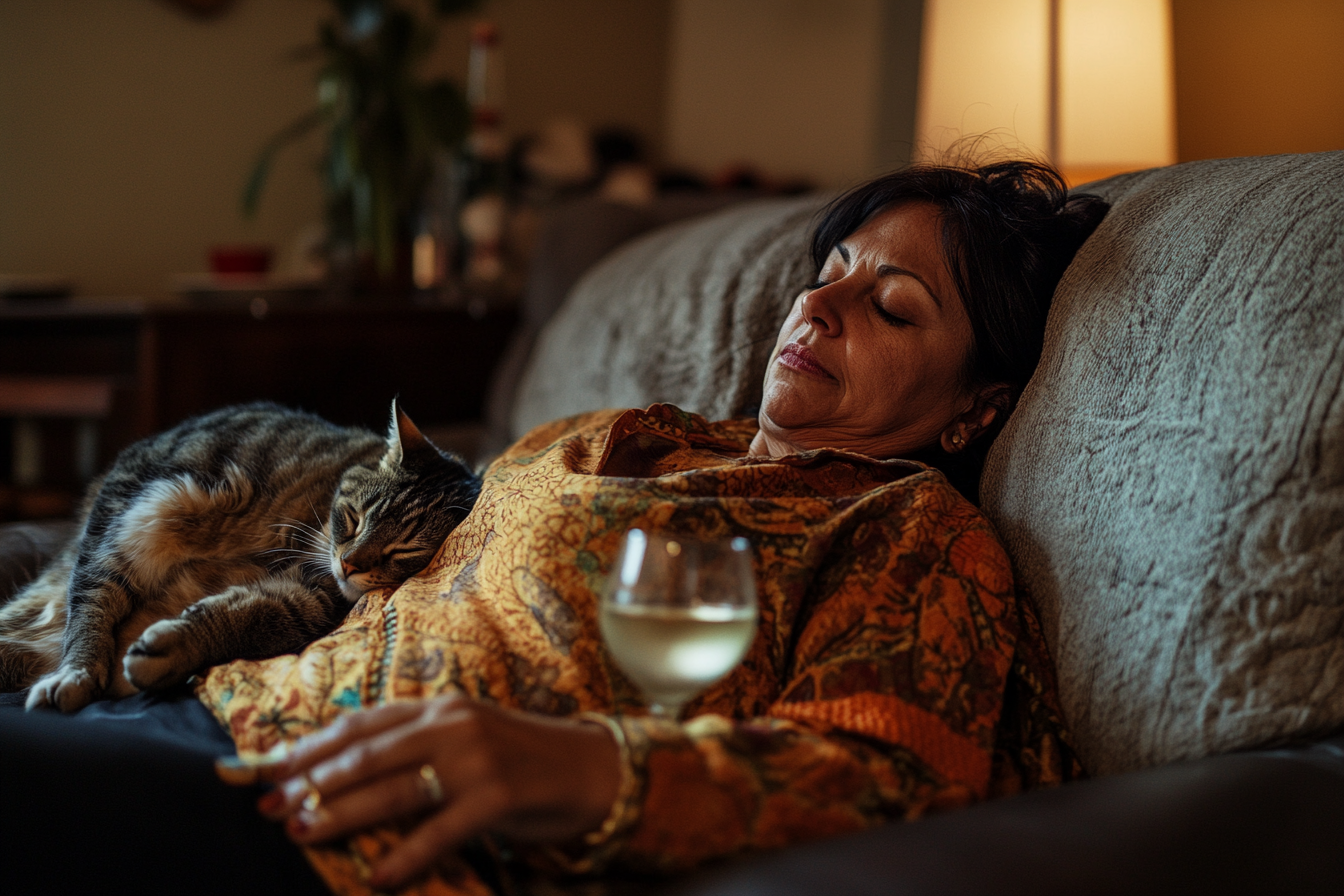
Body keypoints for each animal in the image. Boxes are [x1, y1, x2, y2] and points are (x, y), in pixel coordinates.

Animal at [0, 400, 481, 714]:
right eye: (355, 517)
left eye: (404, 550)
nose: (349, 564)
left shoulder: (307, 598)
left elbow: (248, 617)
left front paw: (174, 649)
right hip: (136, 512)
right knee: (90, 602)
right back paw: (74, 674)